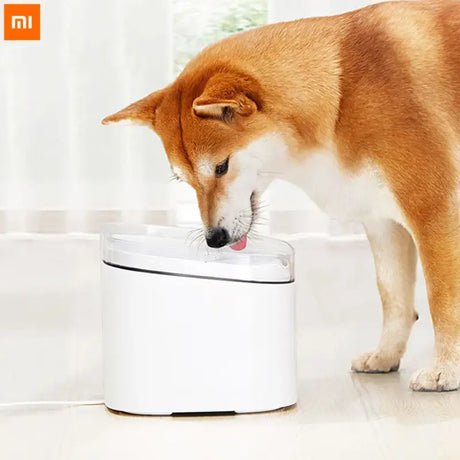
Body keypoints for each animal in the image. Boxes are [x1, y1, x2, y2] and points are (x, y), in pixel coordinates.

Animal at [104, 0, 460, 392]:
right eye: (185, 181)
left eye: (221, 167)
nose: (214, 239)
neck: (341, 95)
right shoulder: (382, 222)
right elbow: (394, 299)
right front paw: (385, 356)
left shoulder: (434, 210)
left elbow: (443, 301)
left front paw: (444, 370)